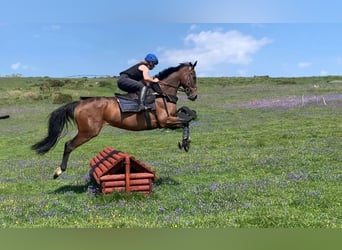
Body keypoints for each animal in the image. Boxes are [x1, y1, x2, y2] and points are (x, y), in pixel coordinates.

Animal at [32, 61, 198, 179]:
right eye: (194, 77)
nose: (194, 96)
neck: (162, 93)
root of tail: (79, 103)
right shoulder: (165, 121)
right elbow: (185, 121)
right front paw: (185, 142)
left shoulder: (170, 121)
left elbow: (187, 118)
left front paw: (186, 140)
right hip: (88, 132)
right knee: (69, 145)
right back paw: (59, 171)